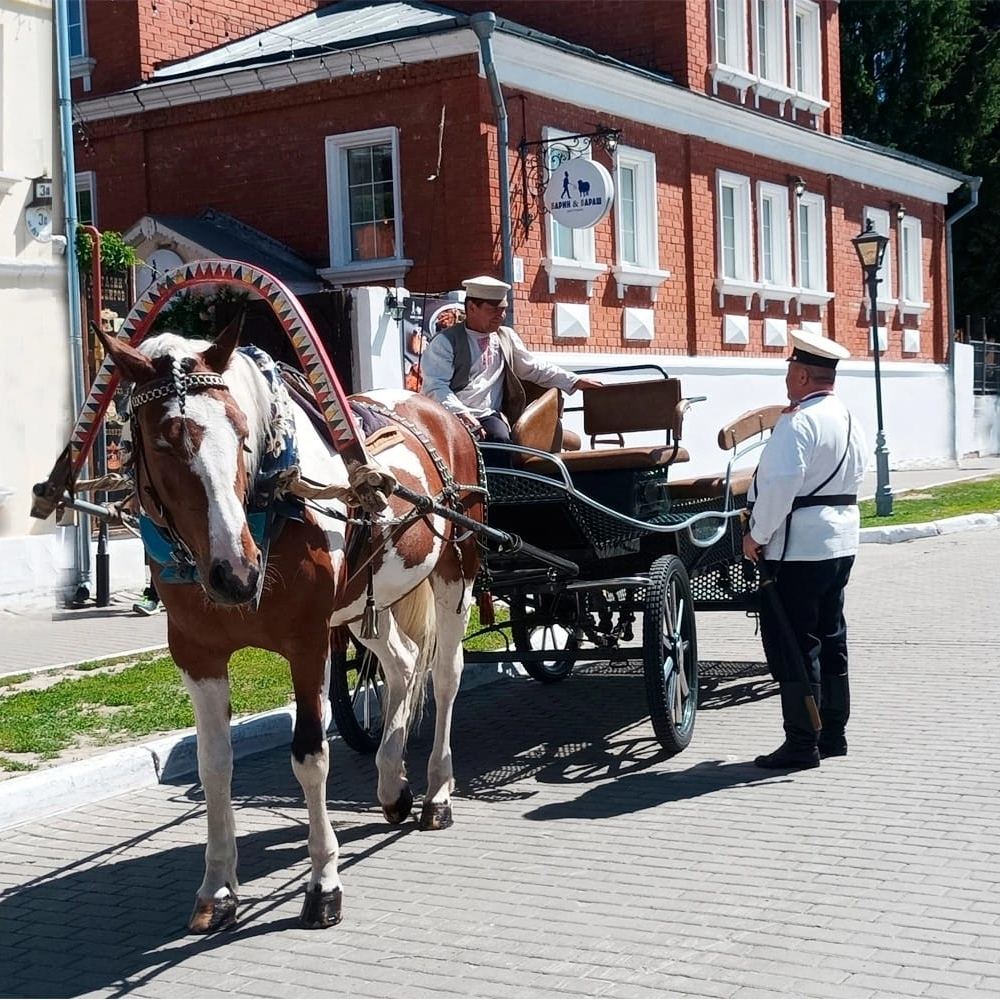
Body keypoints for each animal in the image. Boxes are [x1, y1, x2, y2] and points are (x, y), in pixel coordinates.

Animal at [95, 322, 486, 936]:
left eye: (240, 434)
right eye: (161, 442)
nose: (236, 573)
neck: (271, 501)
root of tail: (438, 410)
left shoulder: (307, 643)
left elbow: (309, 755)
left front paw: (323, 883)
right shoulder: (196, 654)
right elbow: (214, 765)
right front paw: (218, 887)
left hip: (455, 572)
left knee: (445, 676)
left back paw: (437, 793)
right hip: (360, 607)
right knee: (401, 664)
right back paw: (391, 783)